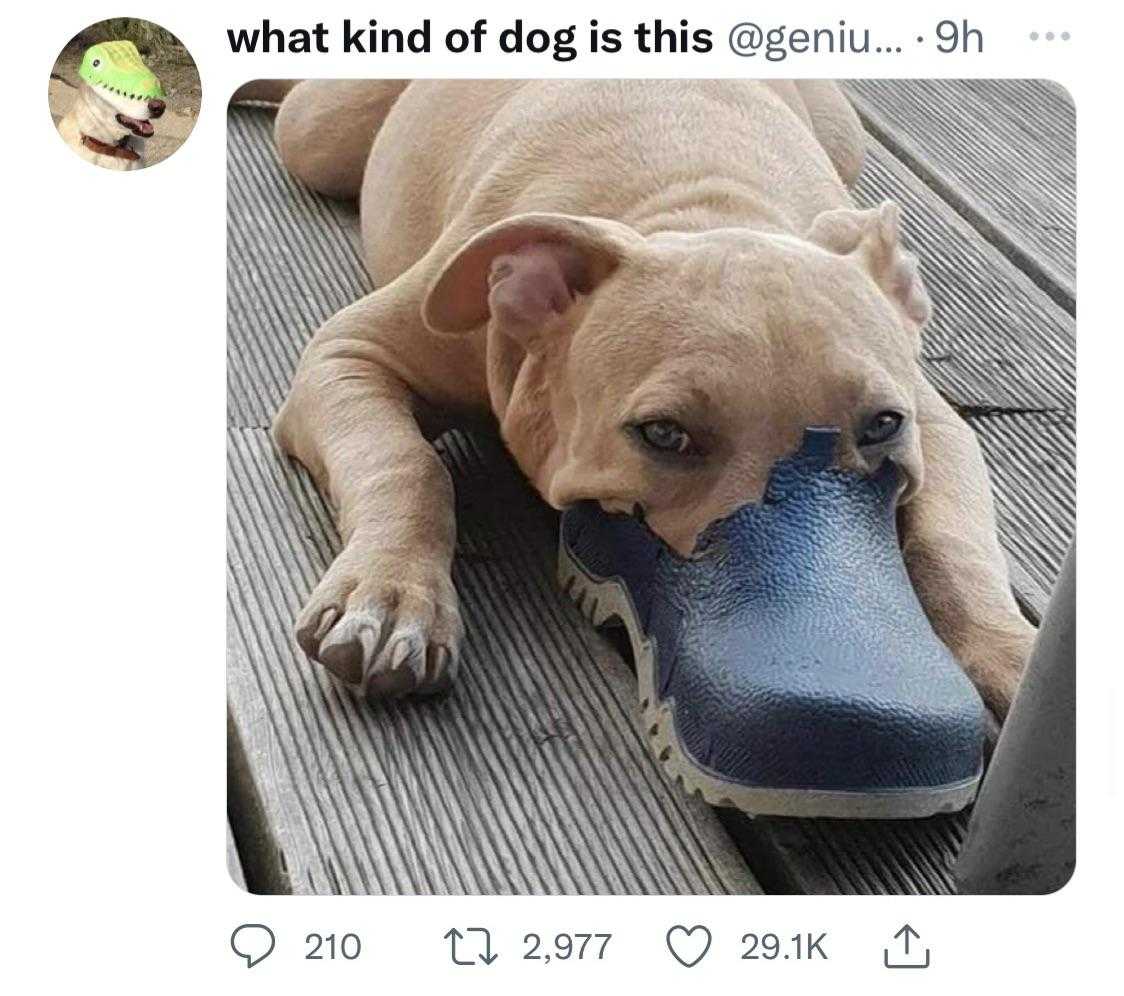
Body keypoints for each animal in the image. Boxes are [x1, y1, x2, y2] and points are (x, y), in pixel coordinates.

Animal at [246, 78, 1034, 719]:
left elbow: (953, 543)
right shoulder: (349, 354)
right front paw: (388, 599)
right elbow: (406, 464)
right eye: (663, 434)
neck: (695, 208)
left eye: (882, 427)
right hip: (319, 133)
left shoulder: (934, 423)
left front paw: (1011, 655)